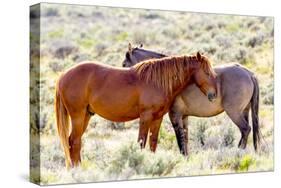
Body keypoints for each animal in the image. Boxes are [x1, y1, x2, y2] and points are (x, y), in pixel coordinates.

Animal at [55, 52, 217, 168]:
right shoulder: (145, 117)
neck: (157, 82)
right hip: (78, 116)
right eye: (207, 72)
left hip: (86, 116)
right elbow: (141, 142)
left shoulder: (157, 118)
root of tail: (63, 75)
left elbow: (153, 142)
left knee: (73, 142)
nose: (213, 95)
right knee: (74, 141)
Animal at [122, 43, 260, 156]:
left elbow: (180, 140)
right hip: (244, 111)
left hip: (234, 113)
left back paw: (238, 151)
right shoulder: (184, 116)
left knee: (245, 129)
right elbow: (185, 139)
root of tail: (248, 73)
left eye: (124, 64)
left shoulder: (175, 115)